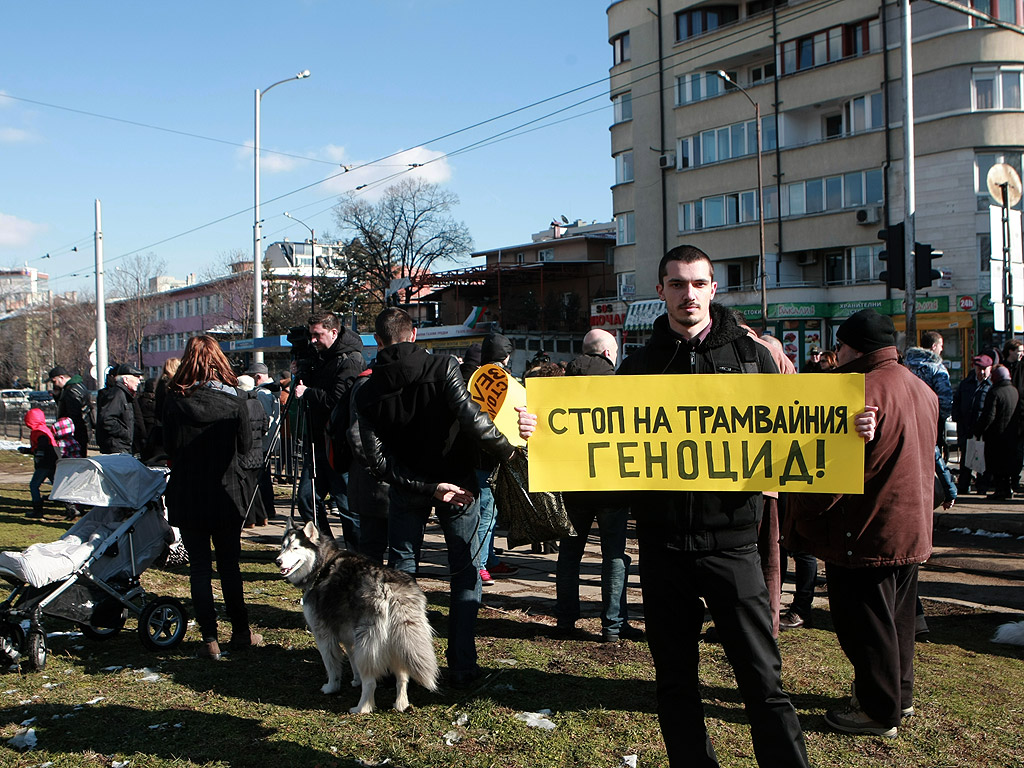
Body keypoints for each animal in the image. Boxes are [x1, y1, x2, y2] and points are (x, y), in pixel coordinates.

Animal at [276, 524, 440, 716]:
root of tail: (392, 589)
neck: (322, 565)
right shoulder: (349, 638)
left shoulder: (323, 634)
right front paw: (355, 680)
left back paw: (362, 708)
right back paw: (401, 704)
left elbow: (331, 666)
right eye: (283, 546)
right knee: (402, 677)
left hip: (368, 646)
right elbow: (352, 660)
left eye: (295, 548)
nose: (278, 561)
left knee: (371, 683)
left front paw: (331, 687)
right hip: (397, 643)